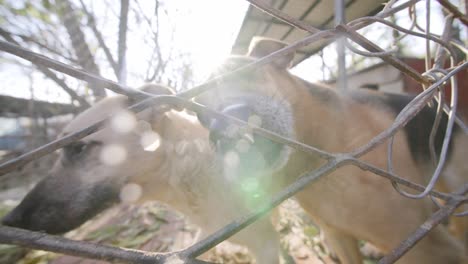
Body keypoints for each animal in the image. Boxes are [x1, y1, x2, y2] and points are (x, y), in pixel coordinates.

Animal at [195, 37, 468, 264]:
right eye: (200, 115)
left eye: (245, 71)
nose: (223, 128)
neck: (316, 160)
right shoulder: (338, 237)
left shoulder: (428, 246)